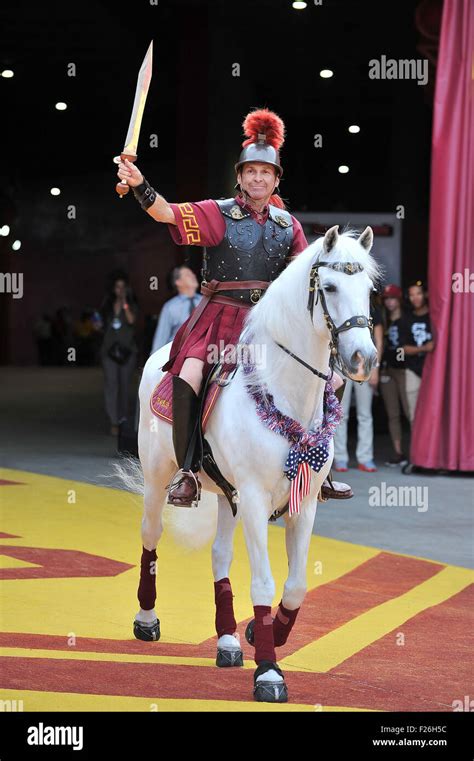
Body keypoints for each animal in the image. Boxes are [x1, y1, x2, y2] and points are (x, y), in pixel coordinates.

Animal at [129, 224, 378, 700]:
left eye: (370, 290)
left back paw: (227, 641)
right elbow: (263, 581)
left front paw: (264, 635)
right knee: (151, 536)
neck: (284, 391)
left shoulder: (304, 501)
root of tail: (160, 354)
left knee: (220, 555)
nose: (363, 359)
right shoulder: (257, 499)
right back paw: (147, 620)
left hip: (228, 495)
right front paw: (268, 670)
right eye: (330, 287)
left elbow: (296, 585)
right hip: (158, 476)